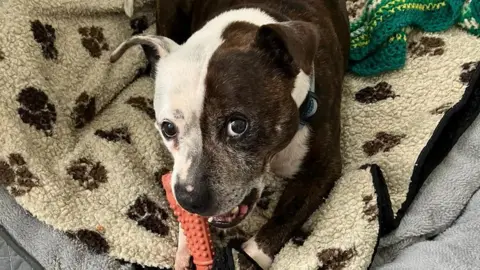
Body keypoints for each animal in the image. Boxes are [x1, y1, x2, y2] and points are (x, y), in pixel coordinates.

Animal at [111, 1, 348, 268]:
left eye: (237, 125)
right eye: (168, 128)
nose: (189, 198)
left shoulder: (323, 168)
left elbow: (282, 222)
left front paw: (248, 257)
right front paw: (186, 249)